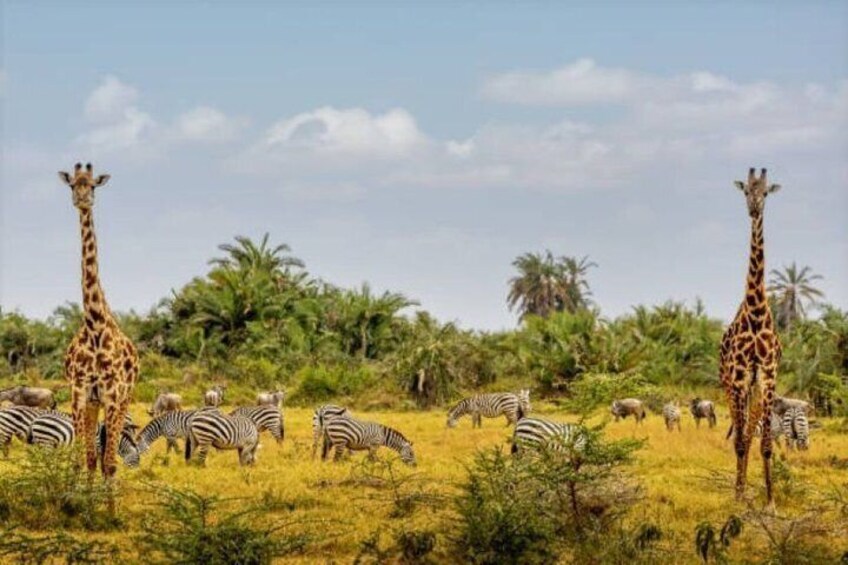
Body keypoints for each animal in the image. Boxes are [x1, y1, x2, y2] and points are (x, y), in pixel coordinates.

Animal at [58, 162, 138, 483]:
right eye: (72, 184)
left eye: (92, 185)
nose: (82, 199)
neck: (94, 326)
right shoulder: (80, 395)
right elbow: (85, 460)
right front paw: (78, 498)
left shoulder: (113, 396)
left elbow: (109, 463)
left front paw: (107, 500)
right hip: (94, 404)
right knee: (94, 457)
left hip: (124, 398)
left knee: (108, 459)